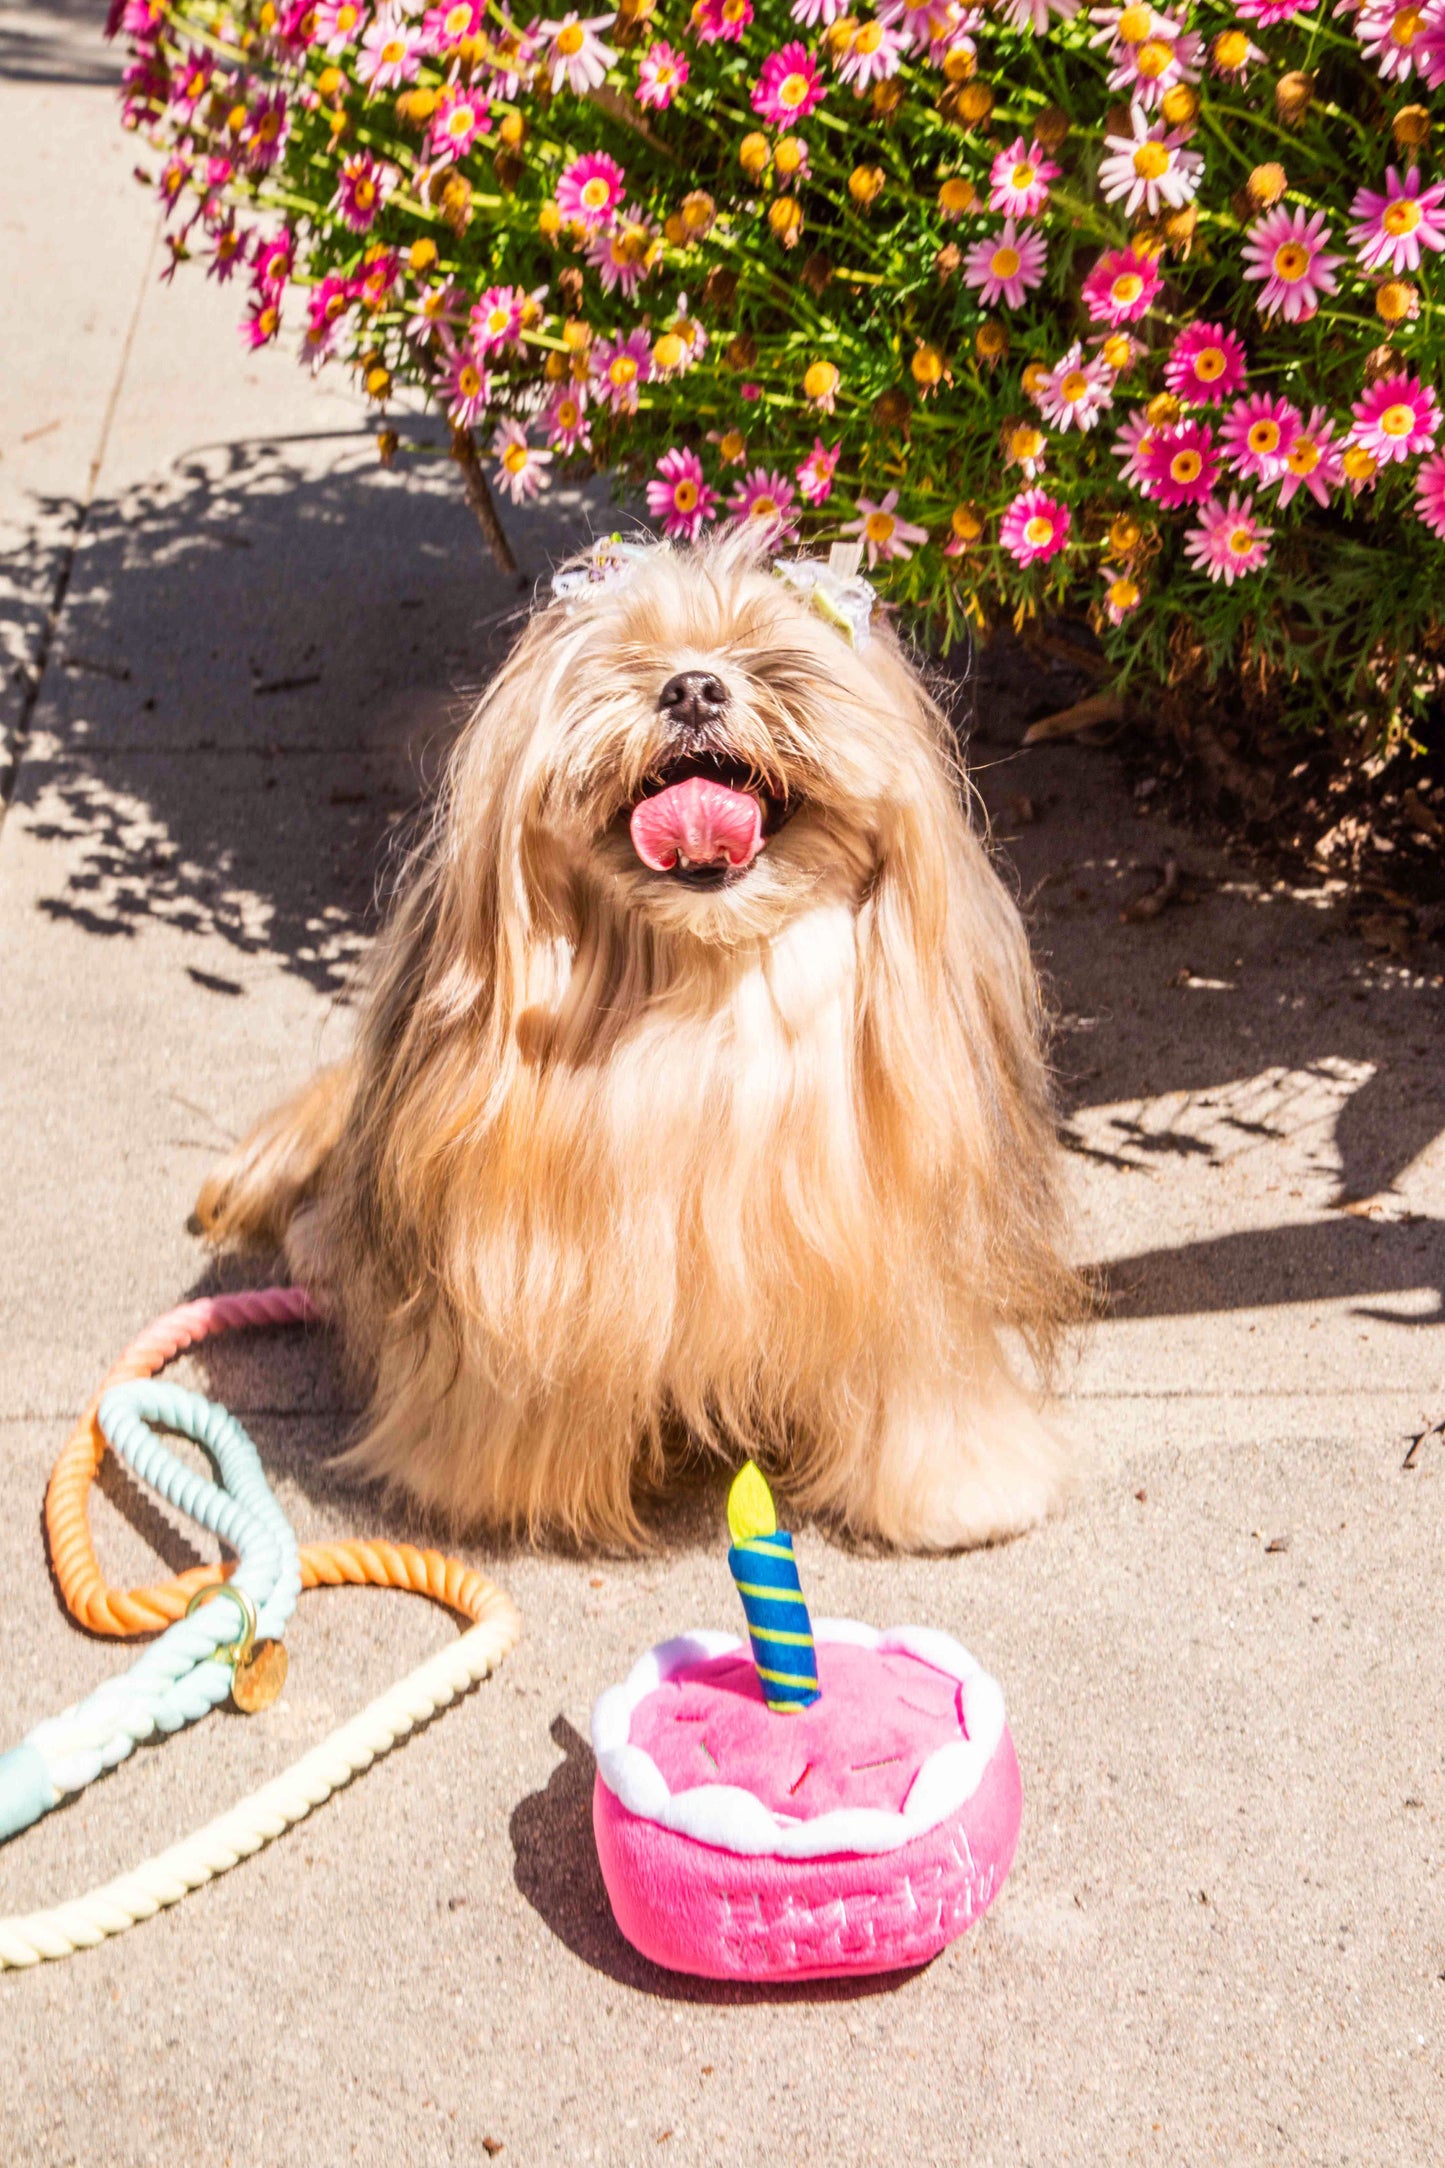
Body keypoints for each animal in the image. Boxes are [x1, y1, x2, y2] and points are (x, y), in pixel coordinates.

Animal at [203, 526, 1083, 1552]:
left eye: (764, 655)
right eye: (627, 660)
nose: (693, 687)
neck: (708, 989)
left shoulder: (908, 1258)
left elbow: (918, 1375)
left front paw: (954, 1490)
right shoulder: (535, 1269)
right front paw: (506, 1486)